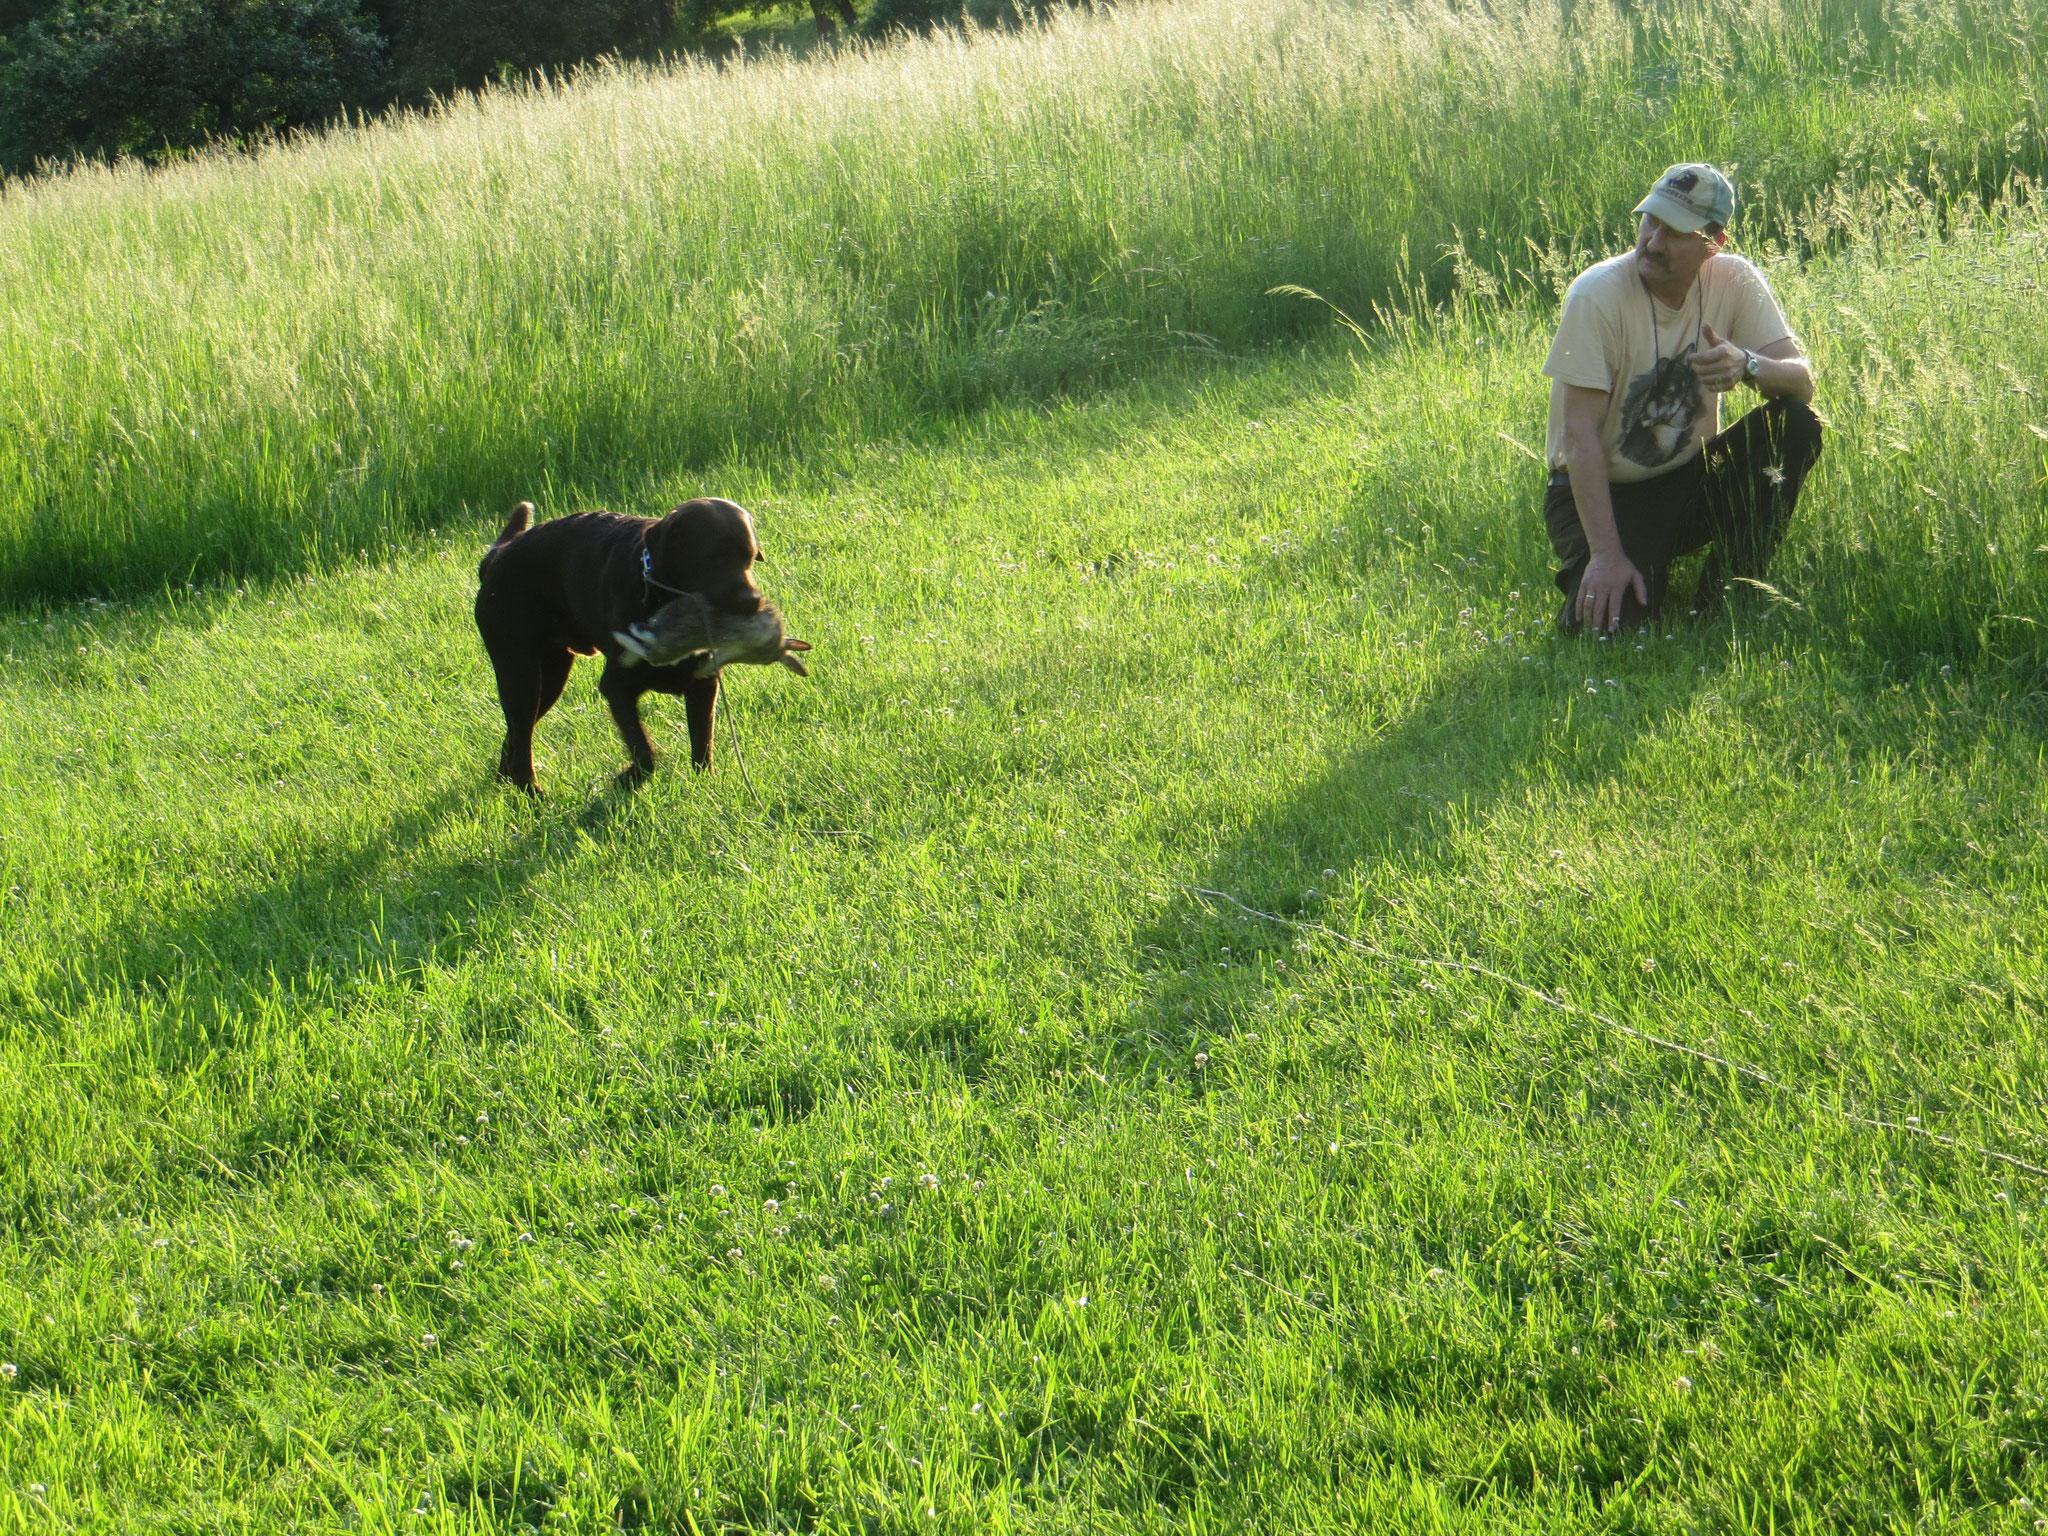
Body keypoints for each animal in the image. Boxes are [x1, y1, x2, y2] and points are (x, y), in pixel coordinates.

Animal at [475, 499, 794, 794]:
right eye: (711, 558)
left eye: (749, 556)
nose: (753, 602)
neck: (660, 596)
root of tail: (498, 554)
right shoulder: (617, 688)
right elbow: (644, 751)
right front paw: (628, 778)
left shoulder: (703, 685)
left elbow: (703, 742)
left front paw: (705, 785)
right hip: (521, 674)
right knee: (521, 735)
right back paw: (532, 792)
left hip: (550, 676)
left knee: (517, 735)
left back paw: (509, 781)